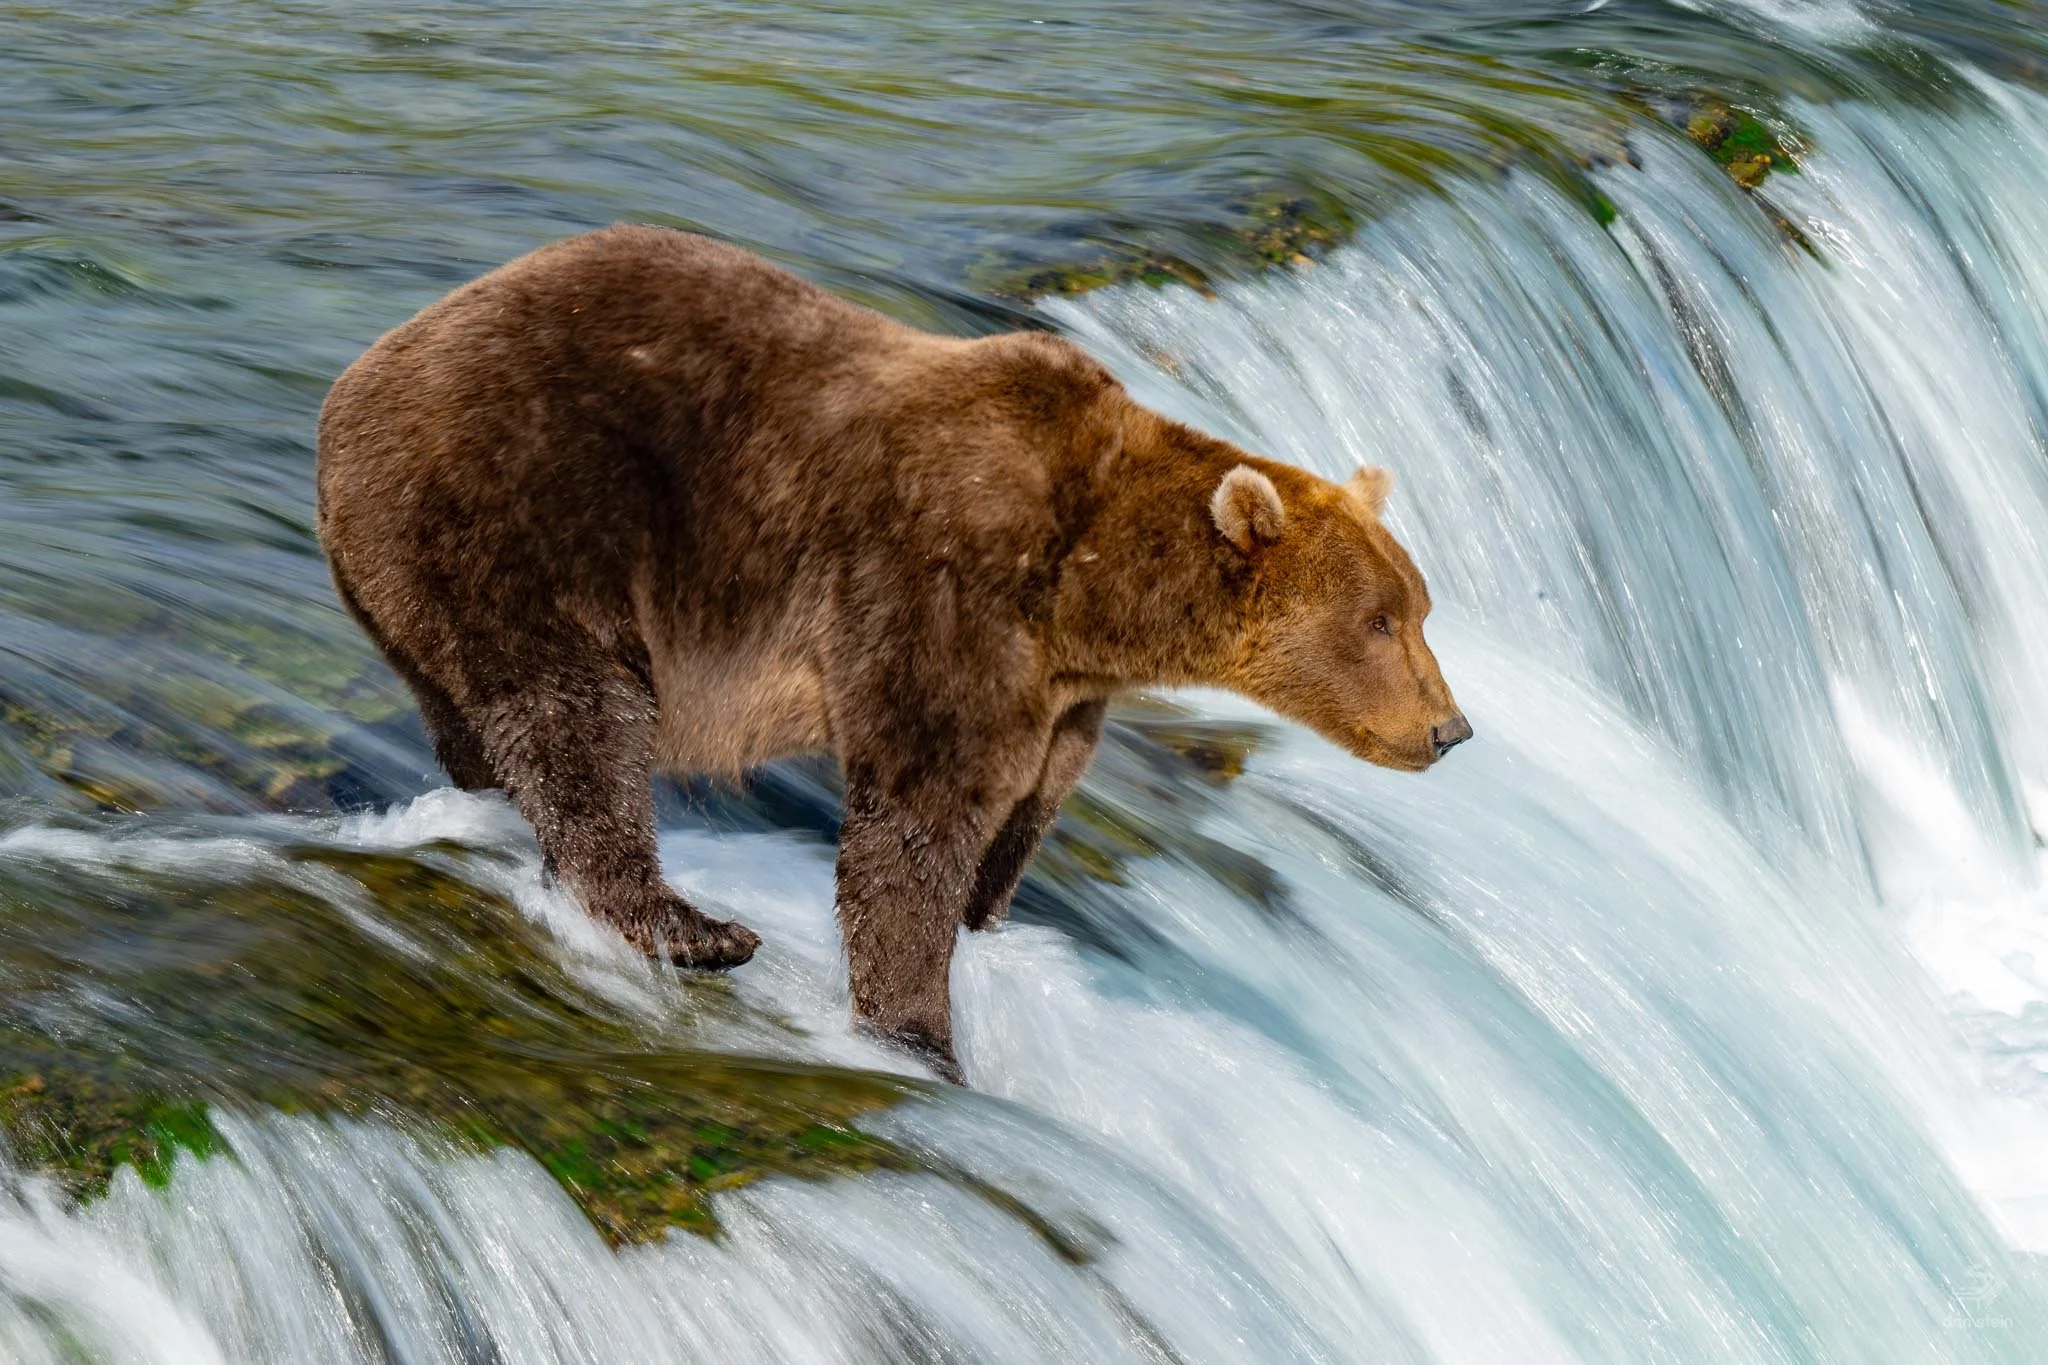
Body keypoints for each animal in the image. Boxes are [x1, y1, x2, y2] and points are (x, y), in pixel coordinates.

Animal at [315, 224, 1469, 1082]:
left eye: (1420, 607)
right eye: (1379, 620)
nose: (1449, 730)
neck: (1091, 585)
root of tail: (344, 391)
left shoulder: (1061, 689)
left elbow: (1026, 805)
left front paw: (986, 918)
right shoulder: (938, 587)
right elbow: (914, 819)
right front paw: (917, 1032)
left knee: (479, 719)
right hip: (519, 510)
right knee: (579, 720)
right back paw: (694, 928)